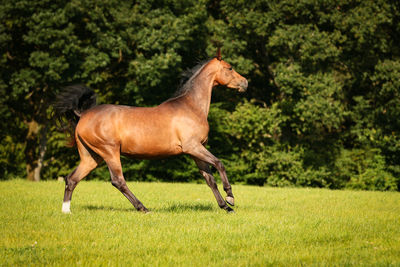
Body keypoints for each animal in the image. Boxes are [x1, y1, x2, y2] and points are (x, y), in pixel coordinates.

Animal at [53, 49, 247, 215]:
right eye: (230, 67)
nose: (245, 82)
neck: (191, 106)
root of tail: (83, 114)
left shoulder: (196, 151)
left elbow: (209, 179)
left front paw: (226, 207)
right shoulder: (193, 147)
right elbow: (219, 164)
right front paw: (230, 198)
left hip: (91, 156)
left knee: (72, 179)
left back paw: (66, 211)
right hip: (109, 152)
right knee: (118, 180)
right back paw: (143, 208)